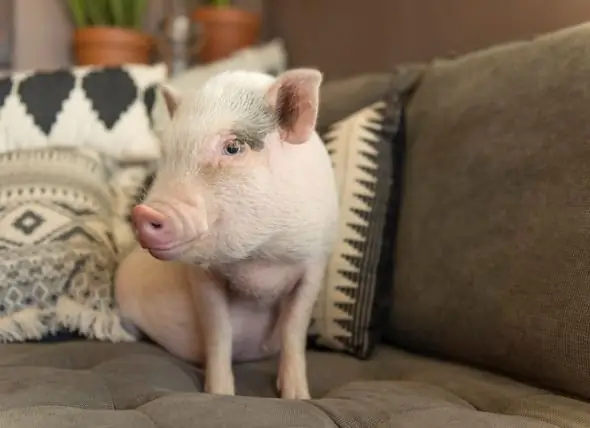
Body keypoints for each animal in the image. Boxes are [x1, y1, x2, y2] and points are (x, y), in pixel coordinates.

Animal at [115, 68, 340, 400]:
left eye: (233, 147)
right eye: (168, 155)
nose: (143, 213)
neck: (260, 260)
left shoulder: (315, 264)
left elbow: (294, 329)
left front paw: (297, 397)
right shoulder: (201, 276)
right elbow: (218, 331)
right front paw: (220, 395)